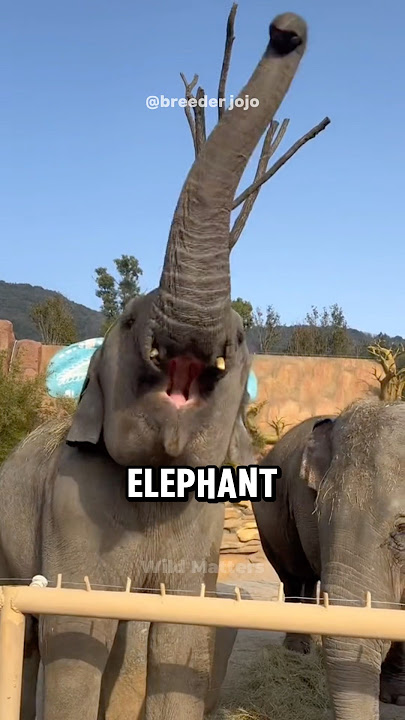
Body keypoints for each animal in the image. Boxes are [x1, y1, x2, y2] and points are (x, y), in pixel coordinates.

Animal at [0, 12, 309, 720]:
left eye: (242, 336)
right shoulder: (73, 502)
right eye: (127, 322)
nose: (285, 28)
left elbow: (182, 635)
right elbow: (76, 633)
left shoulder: (201, 523)